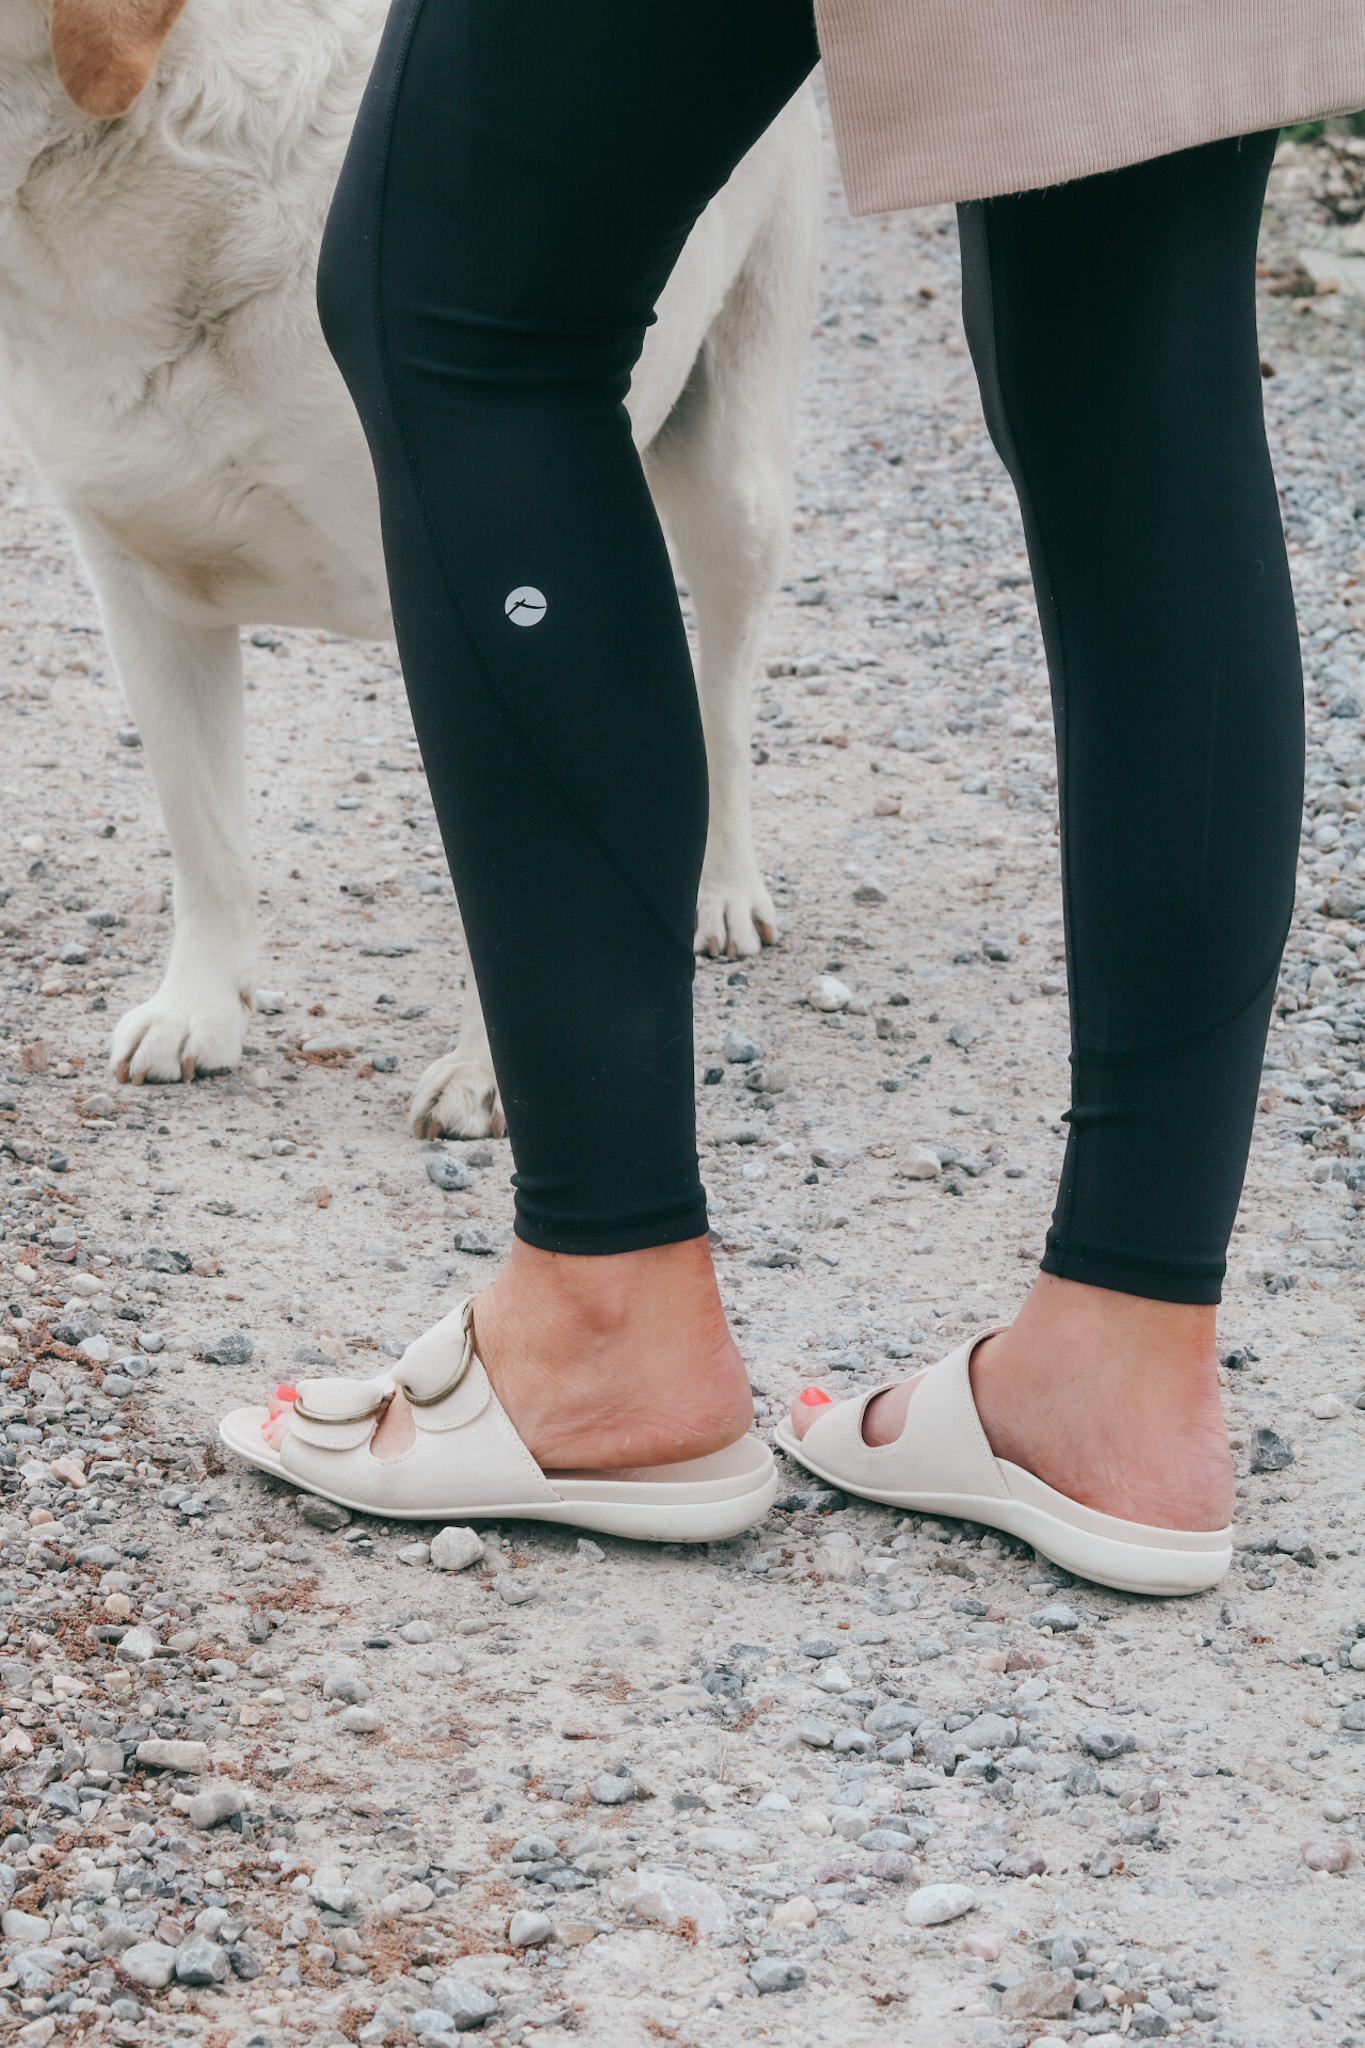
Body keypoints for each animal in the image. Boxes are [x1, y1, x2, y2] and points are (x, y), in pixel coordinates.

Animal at [0, 0, 818, 1138]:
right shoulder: (139, 591)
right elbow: (202, 834)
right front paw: (199, 1009)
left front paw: (494, 1073)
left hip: (732, 476)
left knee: (725, 701)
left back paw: (717, 887)